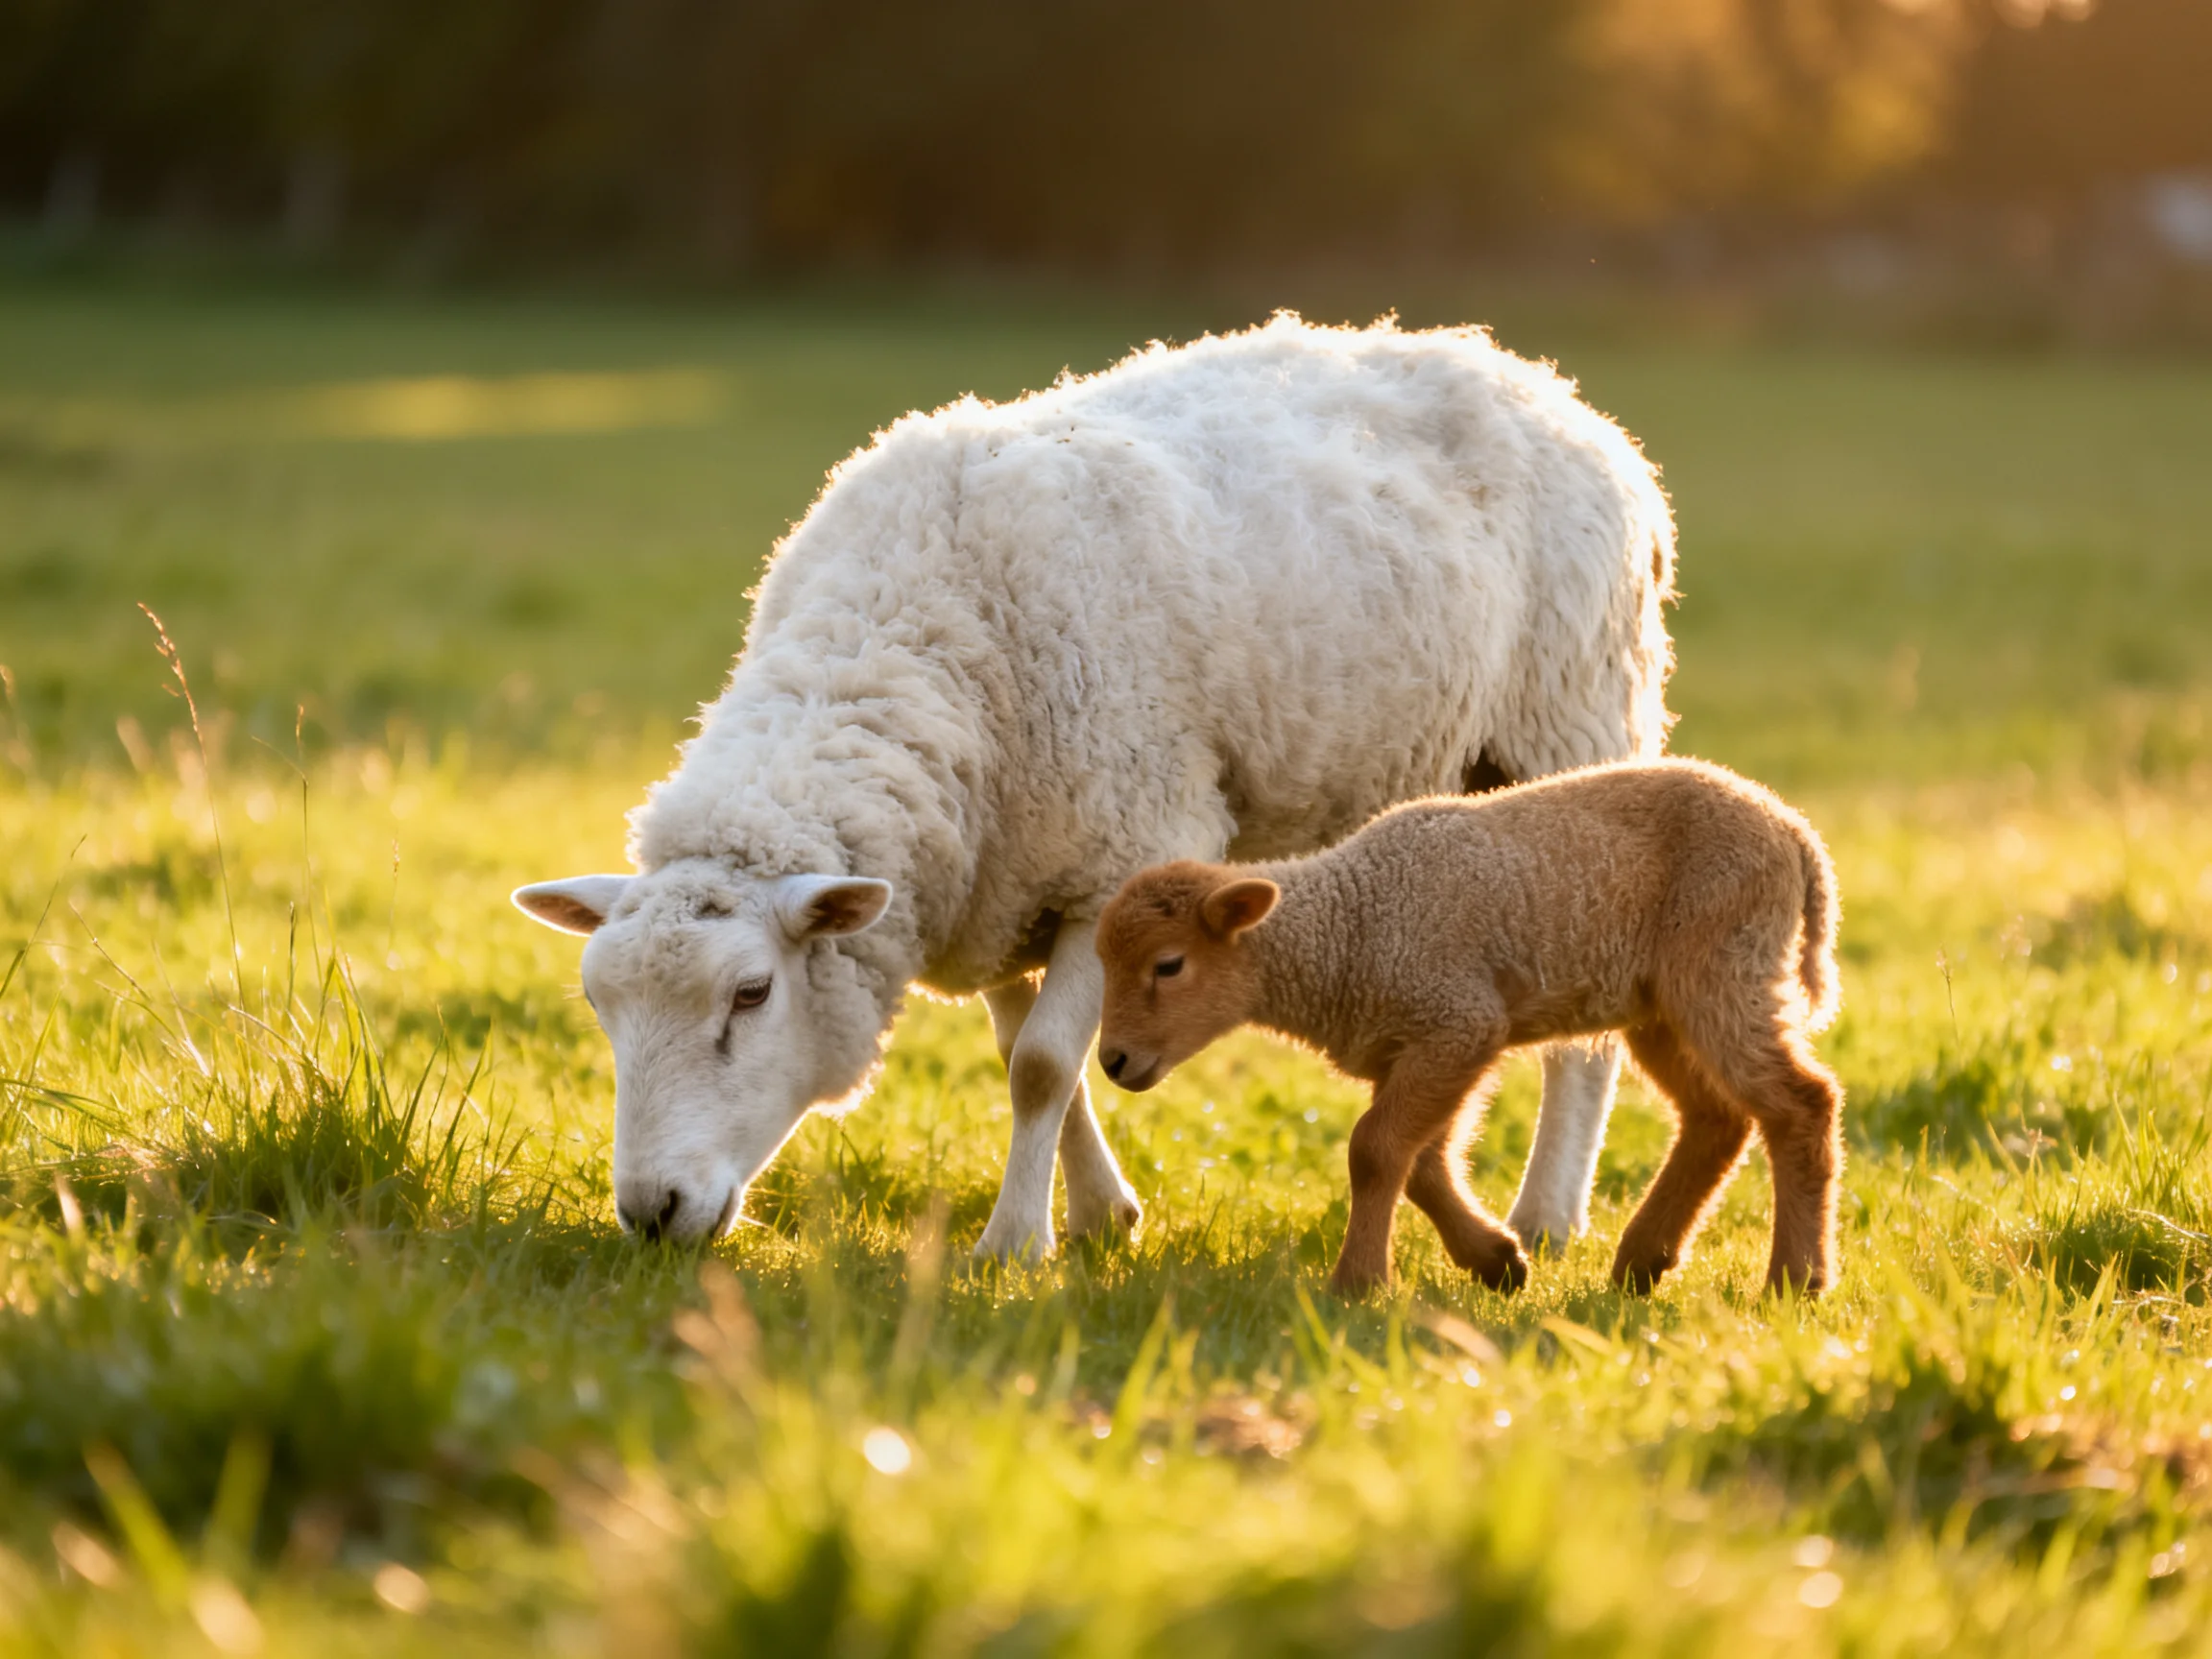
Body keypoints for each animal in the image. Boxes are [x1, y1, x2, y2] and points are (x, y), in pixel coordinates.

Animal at [511, 312, 1678, 1257]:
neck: (910, 632)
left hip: (1573, 719)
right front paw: (1101, 1216)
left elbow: (1038, 1065)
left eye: (751, 994)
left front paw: (1014, 1245)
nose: (650, 1211)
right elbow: (1029, 1055)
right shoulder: (990, 881)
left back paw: (1550, 1215)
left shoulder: (1119, 848)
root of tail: (1541, 381)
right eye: (600, 1006)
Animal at [1094, 758, 1844, 1299]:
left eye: (1168, 964)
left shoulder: (1459, 1021)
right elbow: (1419, 1163)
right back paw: (1642, 1262)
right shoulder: (1412, 1045)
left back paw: (1794, 1280)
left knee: (1800, 1103)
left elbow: (1374, 1151)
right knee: (1717, 1117)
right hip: (1661, 1005)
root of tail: (1794, 831)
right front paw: (1496, 1262)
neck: (1347, 929)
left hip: (1725, 963)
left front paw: (1358, 1283)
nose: (1112, 1061)